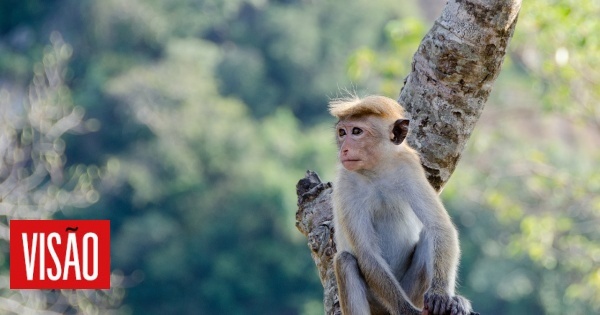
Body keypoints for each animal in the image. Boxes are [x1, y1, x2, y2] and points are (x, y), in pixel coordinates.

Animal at [328, 95, 474, 315]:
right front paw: (407, 311)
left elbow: (439, 227)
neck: (376, 171)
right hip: (377, 301)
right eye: (342, 133)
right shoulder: (346, 184)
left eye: (356, 132)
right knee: (345, 261)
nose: (344, 149)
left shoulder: (409, 167)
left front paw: (442, 295)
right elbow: (367, 253)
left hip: (413, 291)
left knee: (428, 235)